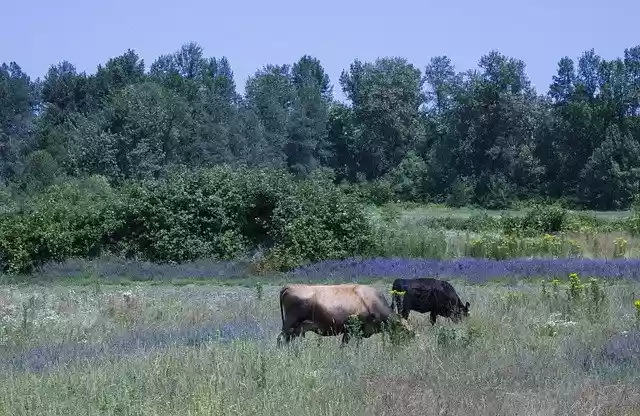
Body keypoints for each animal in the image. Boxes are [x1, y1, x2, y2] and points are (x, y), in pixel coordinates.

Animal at [276, 283, 415, 346]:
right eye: (406, 332)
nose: (406, 347)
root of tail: (289, 286)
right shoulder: (350, 328)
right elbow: (344, 345)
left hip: (296, 328)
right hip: (289, 324)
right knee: (280, 338)